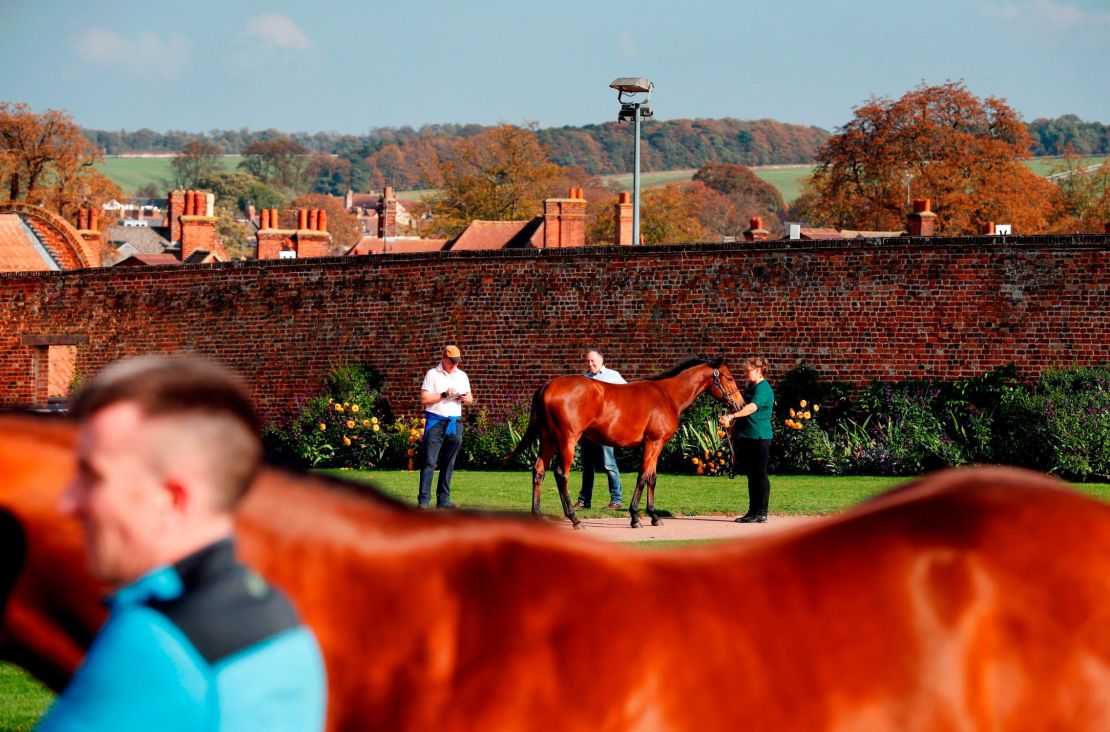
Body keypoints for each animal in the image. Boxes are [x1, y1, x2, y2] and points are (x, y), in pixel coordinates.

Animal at [508, 357, 741, 528]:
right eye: (729, 378)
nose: (739, 404)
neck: (667, 395)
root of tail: (548, 386)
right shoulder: (653, 442)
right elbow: (643, 477)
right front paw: (635, 517)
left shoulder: (656, 445)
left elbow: (652, 478)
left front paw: (654, 516)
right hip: (567, 440)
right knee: (560, 474)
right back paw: (575, 519)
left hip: (547, 439)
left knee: (539, 470)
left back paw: (537, 516)